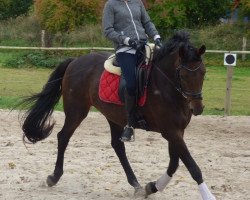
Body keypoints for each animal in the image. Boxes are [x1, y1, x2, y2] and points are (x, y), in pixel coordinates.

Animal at [20, 32, 216, 199]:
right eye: (182, 74)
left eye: (203, 72)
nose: (197, 108)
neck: (166, 87)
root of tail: (75, 61)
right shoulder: (171, 132)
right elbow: (192, 167)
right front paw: (208, 196)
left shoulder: (176, 132)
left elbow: (174, 164)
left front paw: (152, 187)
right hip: (77, 111)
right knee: (63, 137)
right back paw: (54, 177)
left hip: (113, 116)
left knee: (117, 146)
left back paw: (136, 184)